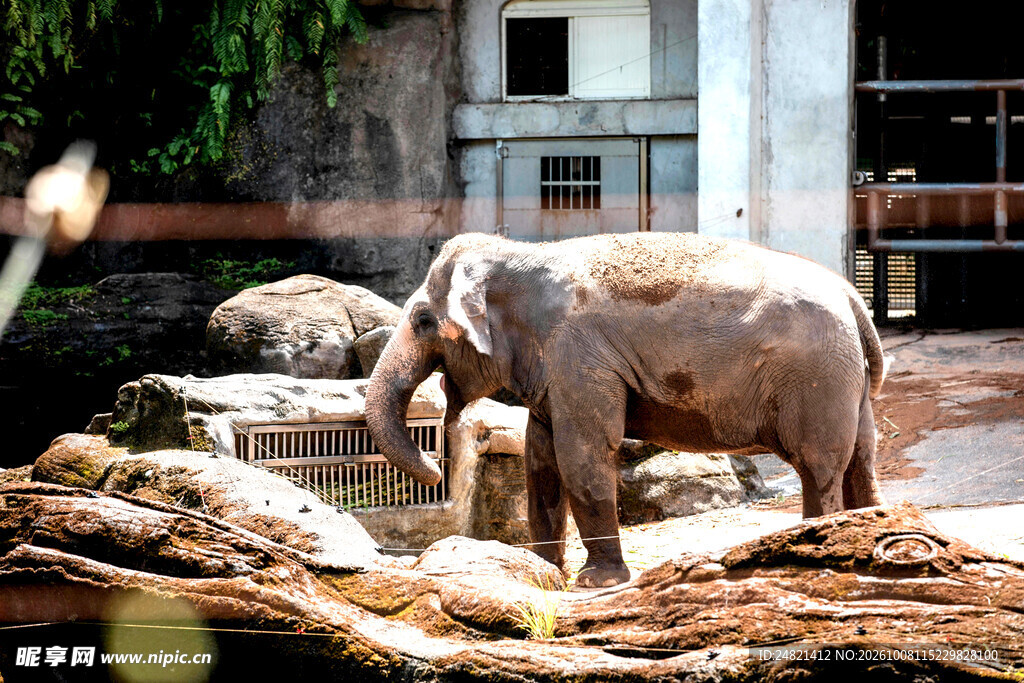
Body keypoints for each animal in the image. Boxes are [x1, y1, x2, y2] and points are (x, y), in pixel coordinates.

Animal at [365, 231, 886, 588]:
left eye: (423, 320)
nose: (435, 465)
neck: (519, 254)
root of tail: (853, 298)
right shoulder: (558, 371)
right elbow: (540, 460)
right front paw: (543, 570)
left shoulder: (580, 356)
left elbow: (582, 453)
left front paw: (595, 582)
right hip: (846, 381)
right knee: (860, 459)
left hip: (817, 379)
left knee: (819, 464)